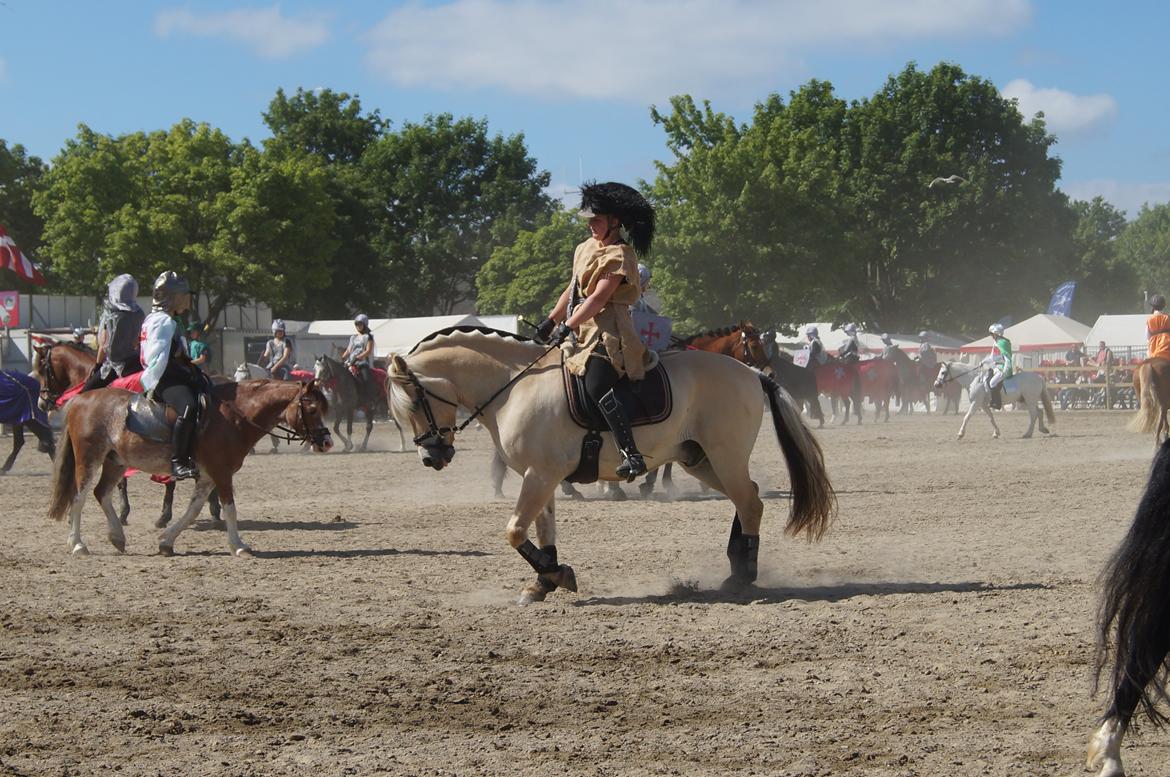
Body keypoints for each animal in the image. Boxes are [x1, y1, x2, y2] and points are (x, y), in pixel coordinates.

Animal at [45, 376, 329, 554]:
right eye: (312, 410)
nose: (326, 442)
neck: (233, 417)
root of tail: (81, 400)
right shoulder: (221, 473)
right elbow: (230, 509)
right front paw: (239, 546)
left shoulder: (207, 476)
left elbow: (193, 510)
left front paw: (166, 542)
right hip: (89, 458)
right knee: (79, 497)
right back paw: (78, 544)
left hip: (115, 462)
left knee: (101, 493)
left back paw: (117, 537)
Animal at [383, 325, 833, 603]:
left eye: (415, 403)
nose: (431, 456)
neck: (516, 386)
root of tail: (751, 373)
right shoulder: (540, 475)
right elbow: (542, 530)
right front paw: (545, 580)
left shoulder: (540, 475)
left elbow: (514, 531)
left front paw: (555, 575)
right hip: (701, 460)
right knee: (747, 499)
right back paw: (736, 563)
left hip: (724, 456)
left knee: (750, 502)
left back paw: (743, 575)